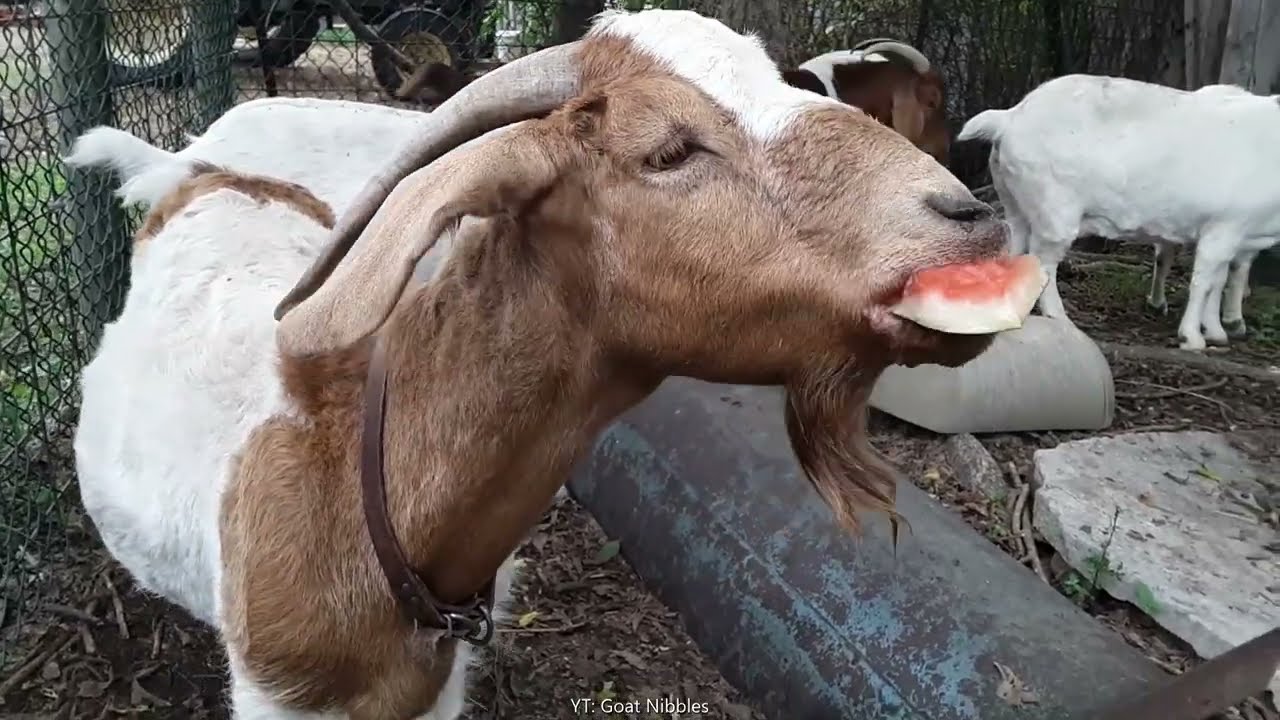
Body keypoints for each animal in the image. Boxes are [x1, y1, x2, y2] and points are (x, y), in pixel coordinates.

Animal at [958, 74, 1280, 350]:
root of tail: (1009, 117)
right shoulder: (1224, 226)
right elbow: (1204, 281)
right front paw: (1192, 337)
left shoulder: (1236, 234)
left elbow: (1219, 279)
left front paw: (1215, 330)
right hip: (1054, 210)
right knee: (1043, 263)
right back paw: (1060, 318)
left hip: (1014, 202)